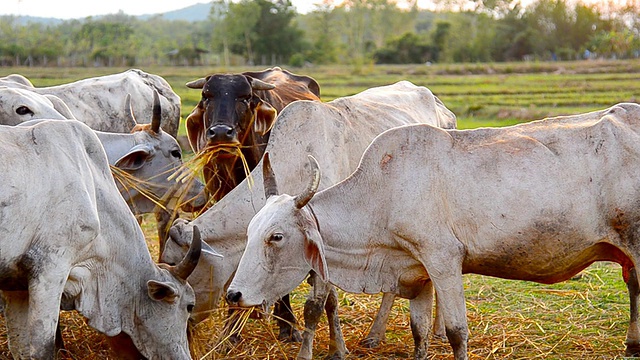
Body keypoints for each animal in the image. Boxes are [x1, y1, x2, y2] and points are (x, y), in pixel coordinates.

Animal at [162, 81, 458, 360]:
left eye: (179, 265)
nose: (183, 325)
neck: (297, 161)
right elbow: (331, 302)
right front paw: (337, 347)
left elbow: (315, 306)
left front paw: (318, 350)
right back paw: (378, 334)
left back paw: (433, 331)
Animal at [228, 103, 640, 360]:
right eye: (249, 231)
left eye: (276, 236)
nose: (234, 294)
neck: (382, 194)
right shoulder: (418, 273)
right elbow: (419, 332)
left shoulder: (443, 260)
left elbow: (457, 332)